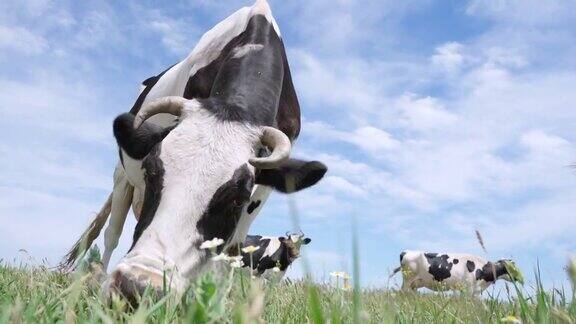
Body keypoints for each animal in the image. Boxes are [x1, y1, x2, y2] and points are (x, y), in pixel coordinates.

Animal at [62, 0, 328, 304]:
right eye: (151, 171)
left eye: (238, 198)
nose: (137, 288)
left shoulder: (262, 190)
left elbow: (231, 252)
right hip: (122, 177)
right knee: (112, 232)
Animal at [392, 251, 520, 294]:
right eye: (513, 267)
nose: (518, 278)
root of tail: (406, 251)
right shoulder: (468, 289)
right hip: (407, 281)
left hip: (414, 284)